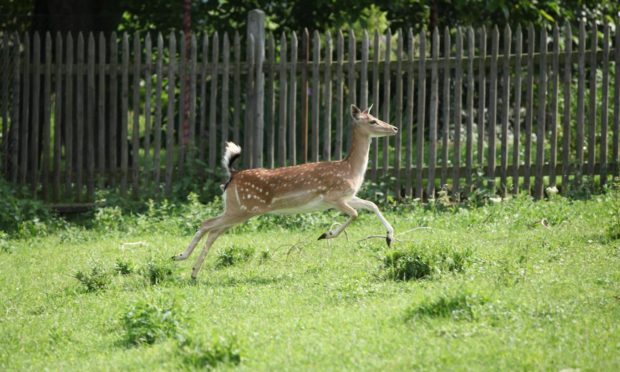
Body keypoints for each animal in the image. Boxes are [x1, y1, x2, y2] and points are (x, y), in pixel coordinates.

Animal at [173, 103, 398, 278]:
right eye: (373, 121)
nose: (394, 128)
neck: (350, 169)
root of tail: (232, 175)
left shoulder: (347, 196)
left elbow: (372, 205)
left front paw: (389, 238)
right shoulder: (334, 197)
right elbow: (356, 214)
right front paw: (326, 234)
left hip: (236, 208)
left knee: (213, 230)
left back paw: (189, 267)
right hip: (245, 209)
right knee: (208, 224)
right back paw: (184, 260)